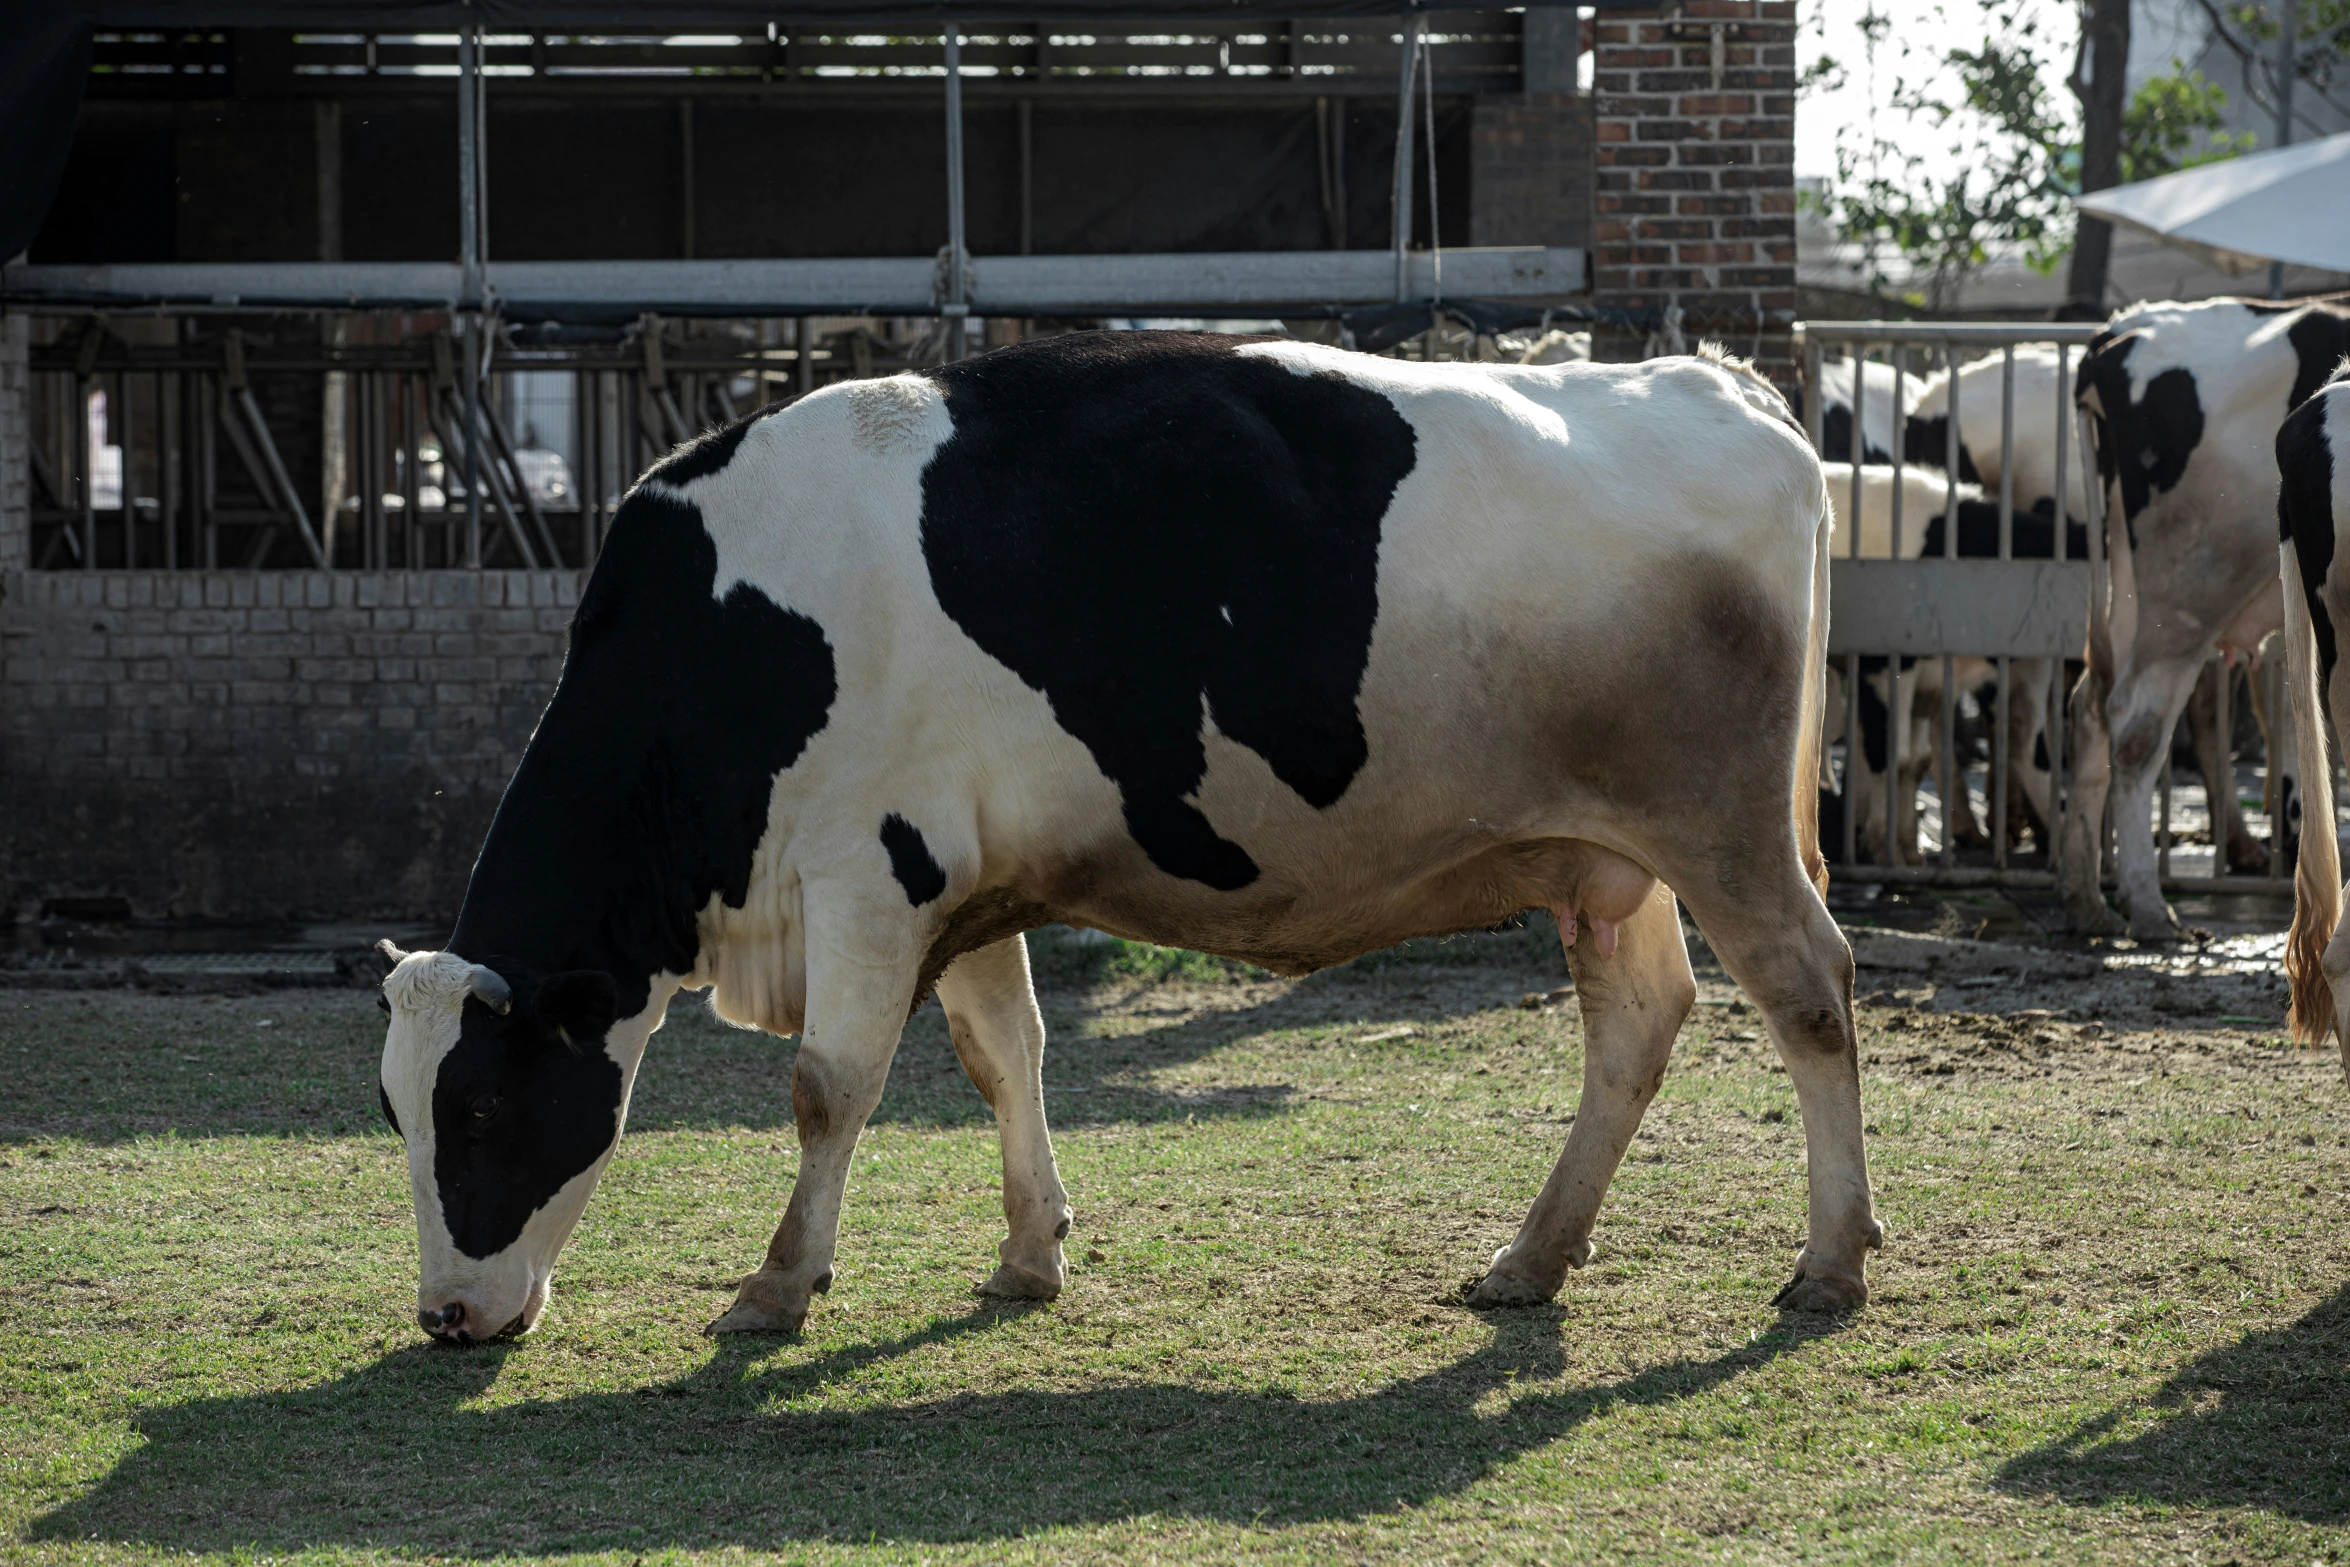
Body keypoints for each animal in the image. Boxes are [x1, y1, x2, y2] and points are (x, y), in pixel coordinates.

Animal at [371, 331, 1870, 1353]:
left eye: (483, 1107)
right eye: (393, 1106)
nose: (447, 1315)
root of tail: (1711, 381)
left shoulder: (868, 873)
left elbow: (828, 1087)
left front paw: (778, 1282)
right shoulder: (961, 880)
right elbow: (1004, 1054)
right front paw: (1030, 1251)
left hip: (1726, 831)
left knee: (1808, 994)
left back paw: (1830, 1259)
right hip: (1607, 860)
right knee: (1637, 1021)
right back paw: (1531, 1254)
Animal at [2058, 296, 2350, 939]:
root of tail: (2122, 330)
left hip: (2132, 586)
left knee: (2091, 704)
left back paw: (2087, 900)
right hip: (2191, 587)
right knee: (2135, 724)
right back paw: (2147, 906)